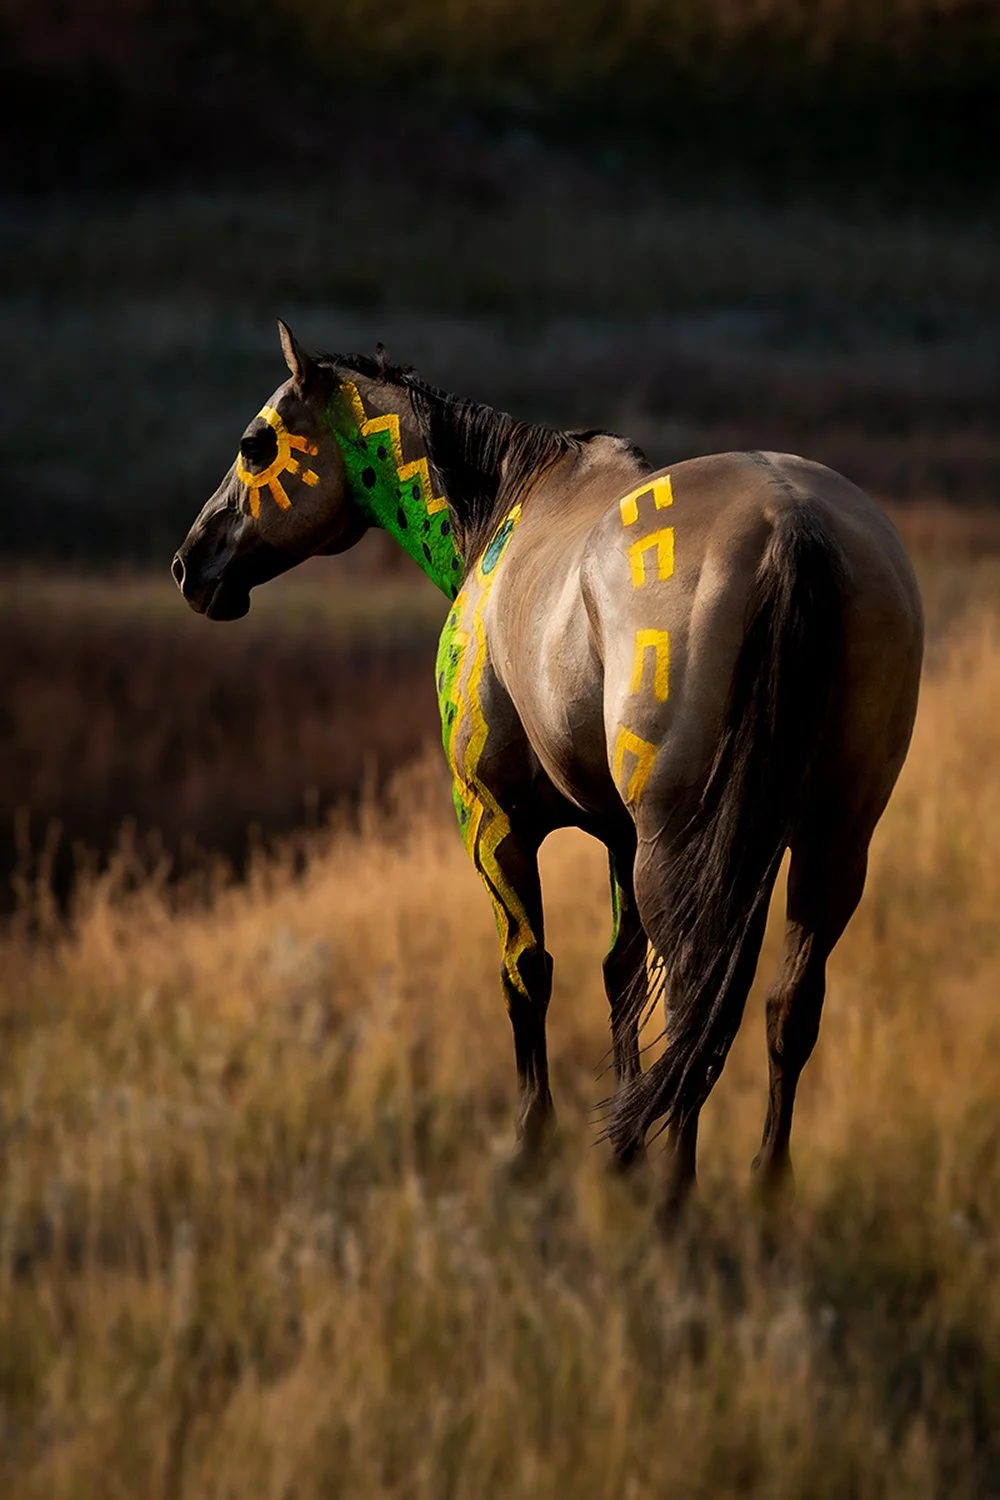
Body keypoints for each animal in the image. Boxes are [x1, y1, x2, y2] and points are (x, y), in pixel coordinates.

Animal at [172, 320, 923, 1223]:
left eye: (256, 444)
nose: (191, 565)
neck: (506, 510)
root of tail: (793, 525)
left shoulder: (492, 814)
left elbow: (528, 972)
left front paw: (535, 1148)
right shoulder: (618, 838)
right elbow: (620, 975)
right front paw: (621, 1147)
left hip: (688, 846)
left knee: (699, 1001)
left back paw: (676, 1198)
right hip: (831, 841)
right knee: (786, 1004)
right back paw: (762, 1187)